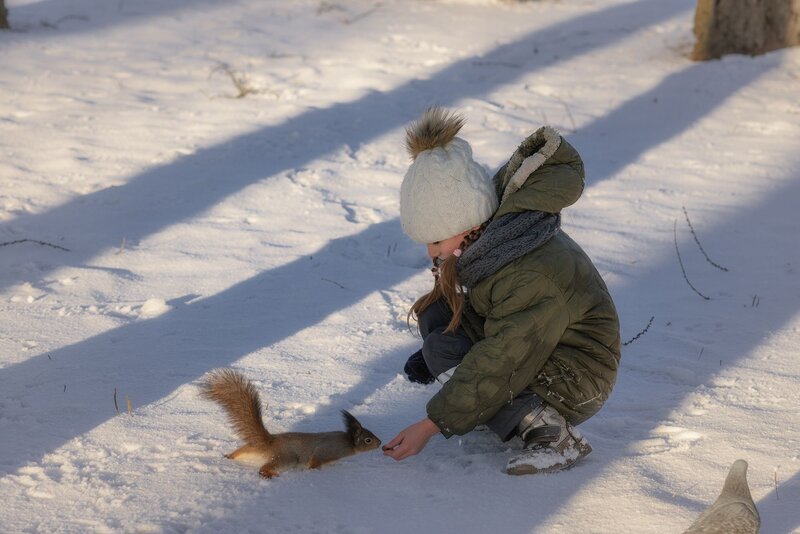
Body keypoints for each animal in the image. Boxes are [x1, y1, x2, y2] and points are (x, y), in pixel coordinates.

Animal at [200, 368, 381, 478]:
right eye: (368, 440)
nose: (380, 443)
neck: (347, 442)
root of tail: (269, 442)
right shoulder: (327, 451)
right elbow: (315, 462)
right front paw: (314, 472)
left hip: (252, 449)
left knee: (242, 451)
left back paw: (229, 456)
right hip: (287, 458)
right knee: (264, 467)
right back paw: (268, 474)